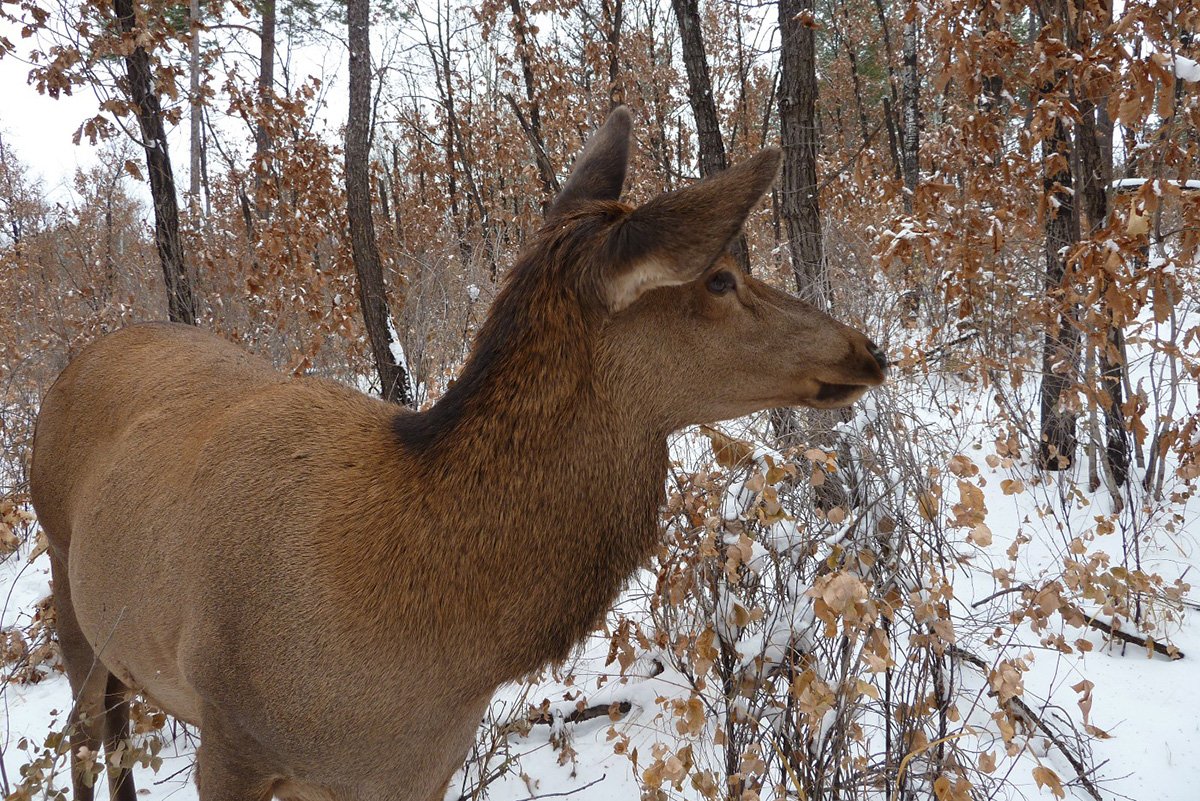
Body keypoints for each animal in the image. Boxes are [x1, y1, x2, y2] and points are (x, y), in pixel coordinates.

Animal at [30, 107, 892, 801]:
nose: (866, 349)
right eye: (718, 277)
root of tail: (71, 364)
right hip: (66, 579)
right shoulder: (231, 739)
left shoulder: (417, 770)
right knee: (84, 741)